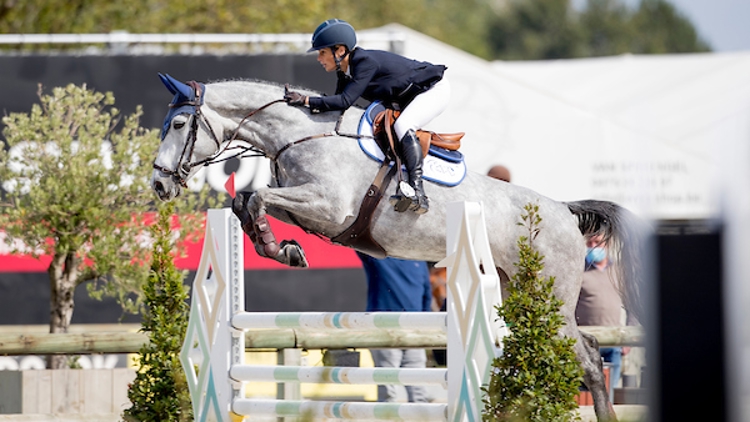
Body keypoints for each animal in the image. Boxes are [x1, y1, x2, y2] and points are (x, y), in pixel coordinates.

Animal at [151, 74, 648, 420]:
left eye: (178, 123)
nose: (158, 184)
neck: (300, 134)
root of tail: (565, 210)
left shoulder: (328, 207)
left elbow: (255, 198)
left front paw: (282, 248)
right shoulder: (307, 206)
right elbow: (246, 200)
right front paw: (282, 246)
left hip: (549, 298)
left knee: (588, 358)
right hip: (518, 291)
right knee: (579, 347)